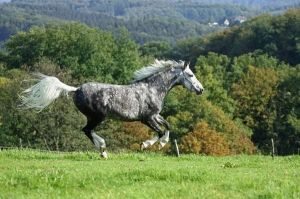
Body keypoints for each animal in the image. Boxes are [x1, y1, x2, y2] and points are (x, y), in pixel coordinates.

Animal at [19, 59, 204, 158]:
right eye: (190, 75)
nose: (200, 89)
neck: (152, 89)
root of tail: (76, 89)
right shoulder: (147, 118)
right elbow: (160, 131)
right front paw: (147, 145)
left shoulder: (155, 116)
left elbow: (167, 126)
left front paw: (160, 144)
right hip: (97, 117)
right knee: (87, 130)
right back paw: (102, 150)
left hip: (94, 117)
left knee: (87, 130)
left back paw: (102, 150)